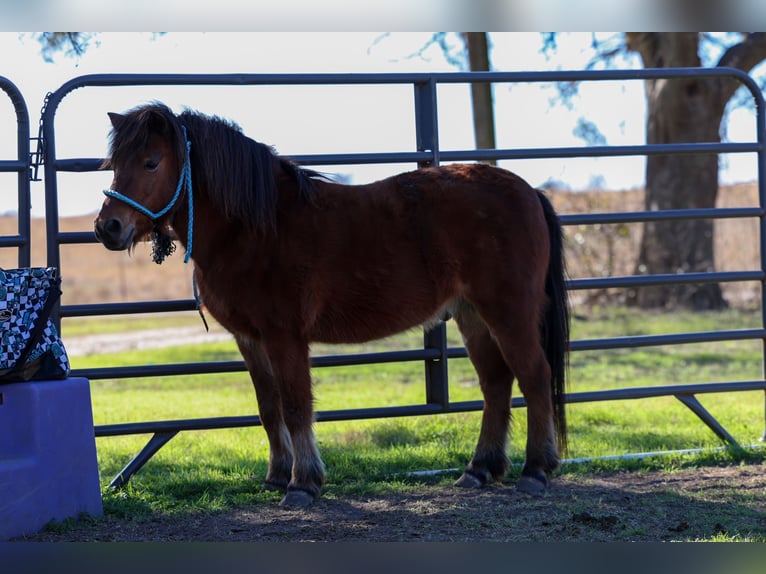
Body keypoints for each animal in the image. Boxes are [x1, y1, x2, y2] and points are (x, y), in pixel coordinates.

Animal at [94, 102, 570, 508]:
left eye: (151, 162)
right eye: (115, 165)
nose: (107, 228)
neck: (258, 226)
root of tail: (529, 191)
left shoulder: (284, 336)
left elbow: (295, 404)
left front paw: (303, 484)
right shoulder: (250, 339)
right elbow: (268, 407)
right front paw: (276, 476)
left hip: (508, 312)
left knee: (534, 376)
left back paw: (535, 470)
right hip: (472, 315)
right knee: (496, 383)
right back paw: (479, 469)